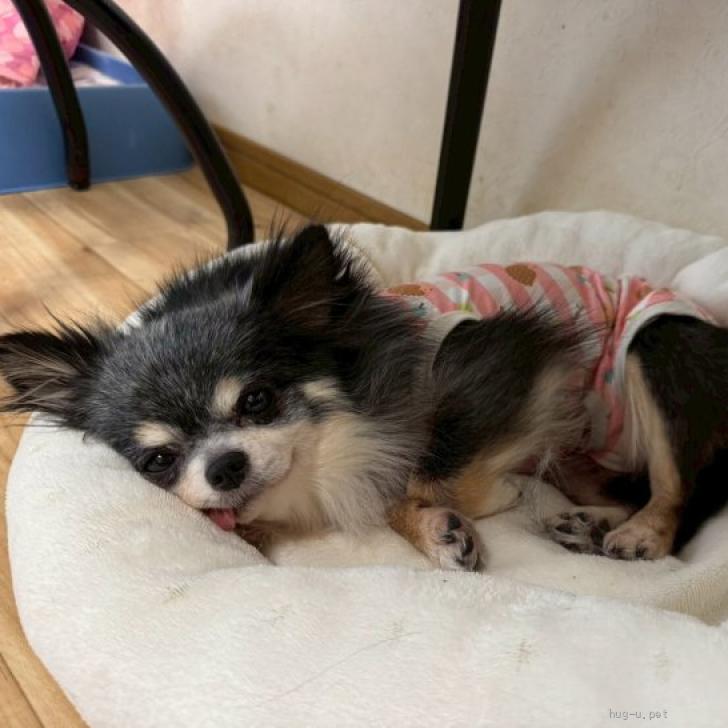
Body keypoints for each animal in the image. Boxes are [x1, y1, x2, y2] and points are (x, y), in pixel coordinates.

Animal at [2, 224, 728, 570]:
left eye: (258, 401)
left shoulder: (511, 363)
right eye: (158, 462)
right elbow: (393, 493)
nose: (225, 466)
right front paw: (436, 530)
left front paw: (481, 500)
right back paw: (591, 524)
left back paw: (636, 535)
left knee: (676, 497)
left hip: (653, 346)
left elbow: (428, 468)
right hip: (588, 455)